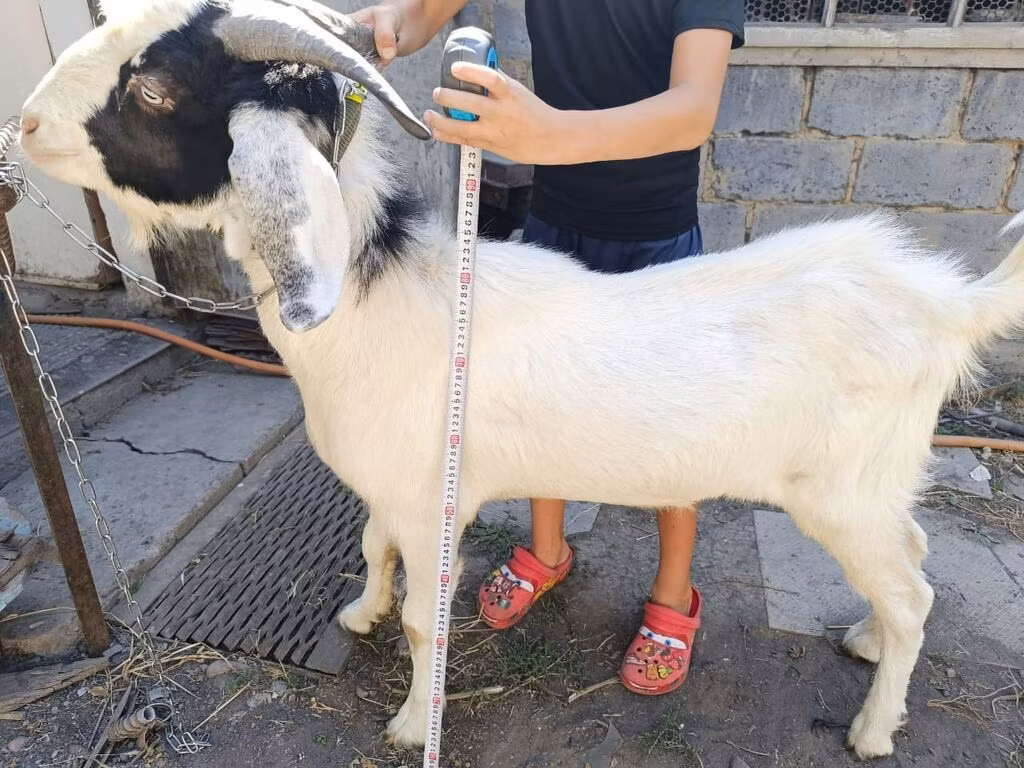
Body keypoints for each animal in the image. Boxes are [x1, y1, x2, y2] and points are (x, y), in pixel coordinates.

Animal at [18, 0, 1024, 758]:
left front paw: (407, 722)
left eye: (153, 89)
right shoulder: (391, 487)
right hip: (879, 485)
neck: (374, 294)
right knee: (913, 565)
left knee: (916, 592)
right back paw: (865, 639)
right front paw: (358, 613)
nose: (23, 124)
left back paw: (873, 727)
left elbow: (426, 618)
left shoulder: (434, 502)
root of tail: (946, 302)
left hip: (842, 492)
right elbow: (372, 549)